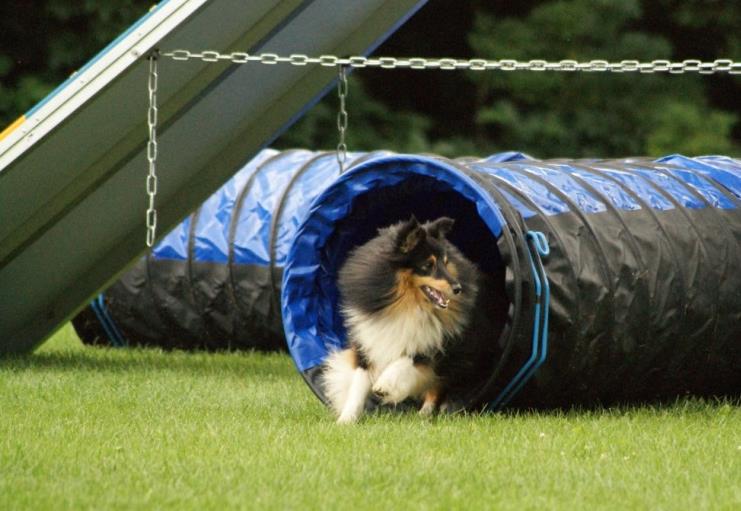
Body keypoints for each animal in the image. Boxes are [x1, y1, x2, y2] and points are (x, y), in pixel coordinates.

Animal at [320, 215, 500, 424]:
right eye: (428, 265)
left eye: (445, 262)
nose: (458, 288)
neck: (405, 304)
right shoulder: (367, 339)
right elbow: (358, 383)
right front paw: (346, 420)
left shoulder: (438, 342)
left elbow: (408, 358)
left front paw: (384, 385)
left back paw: (426, 412)